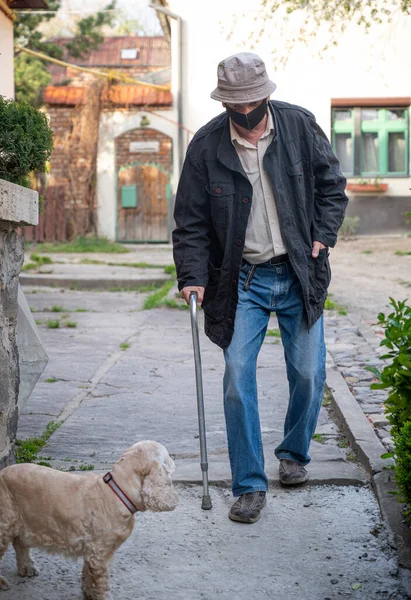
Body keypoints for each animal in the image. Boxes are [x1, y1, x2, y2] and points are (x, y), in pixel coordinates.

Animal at [0, 438, 178, 596]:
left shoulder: (92, 550)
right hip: (5, 524)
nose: (173, 460)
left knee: (20, 543)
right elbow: (100, 583)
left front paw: (87, 592)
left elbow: (88, 576)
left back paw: (27, 569)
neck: (118, 491)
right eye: (167, 457)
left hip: (22, 520)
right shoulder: (99, 553)